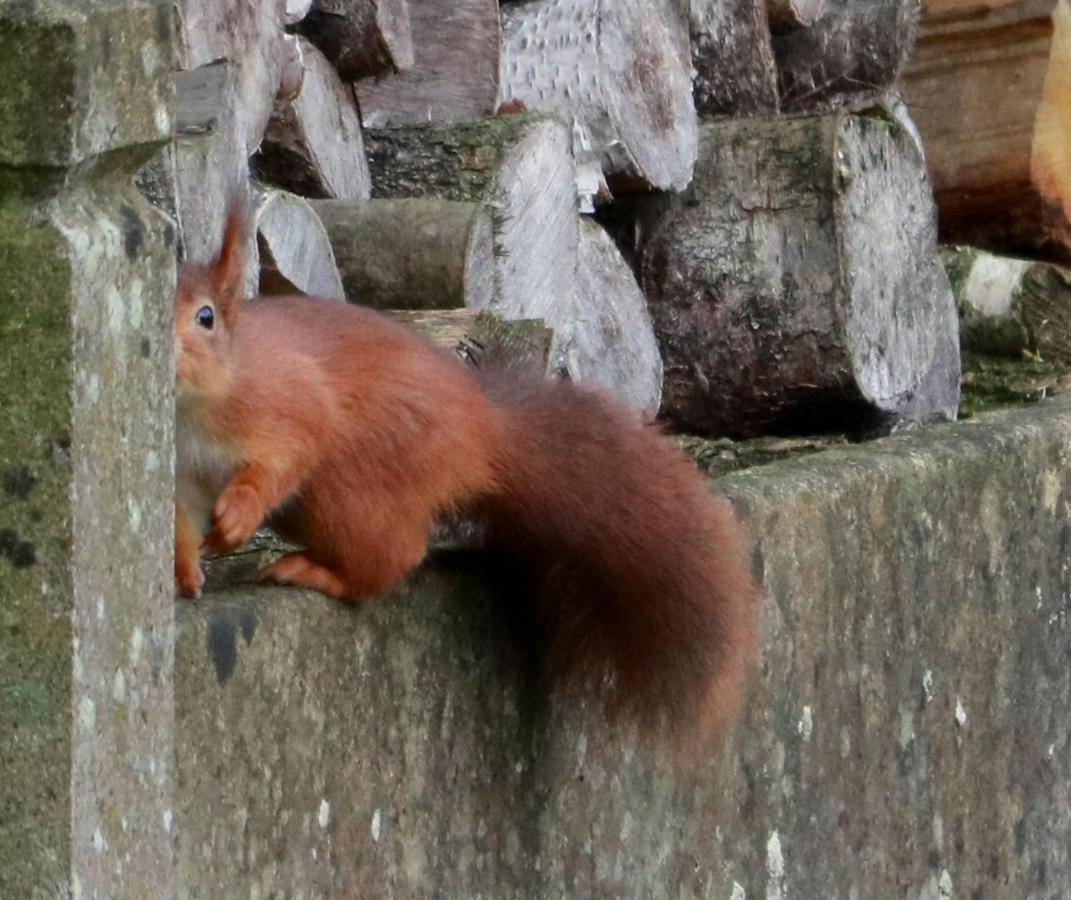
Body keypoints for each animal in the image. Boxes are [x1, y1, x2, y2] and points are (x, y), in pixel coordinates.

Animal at [175, 207, 762, 750]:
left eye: (206, 317)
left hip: (348, 486)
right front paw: (185, 573)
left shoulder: (288, 401)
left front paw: (236, 517)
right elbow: (181, 522)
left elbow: (286, 453)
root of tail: (484, 435)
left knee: (394, 555)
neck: (199, 407)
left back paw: (318, 573)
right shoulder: (183, 473)